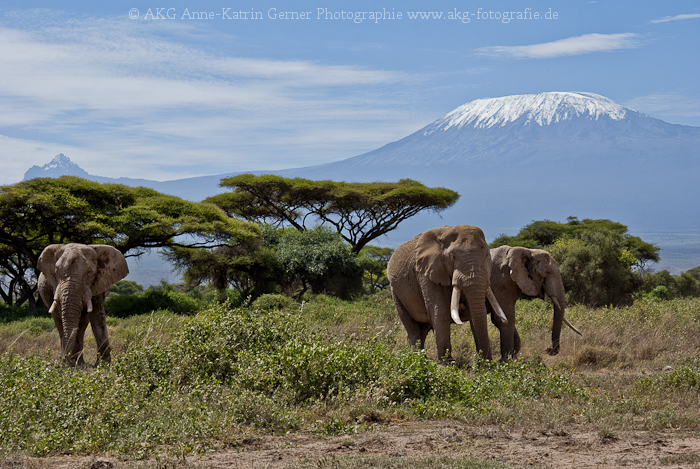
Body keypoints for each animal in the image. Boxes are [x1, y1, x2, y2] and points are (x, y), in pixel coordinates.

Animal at [386, 225, 506, 360]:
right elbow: (440, 310)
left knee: (423, 328)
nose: (487, 360)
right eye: (453, 257)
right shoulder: (426, 273)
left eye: (486, 255)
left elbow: (473, 311)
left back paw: (422, 359)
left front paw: (485, 364)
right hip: (395, 292)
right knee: (411, 325)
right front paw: (446, 363)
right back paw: (417, 359)